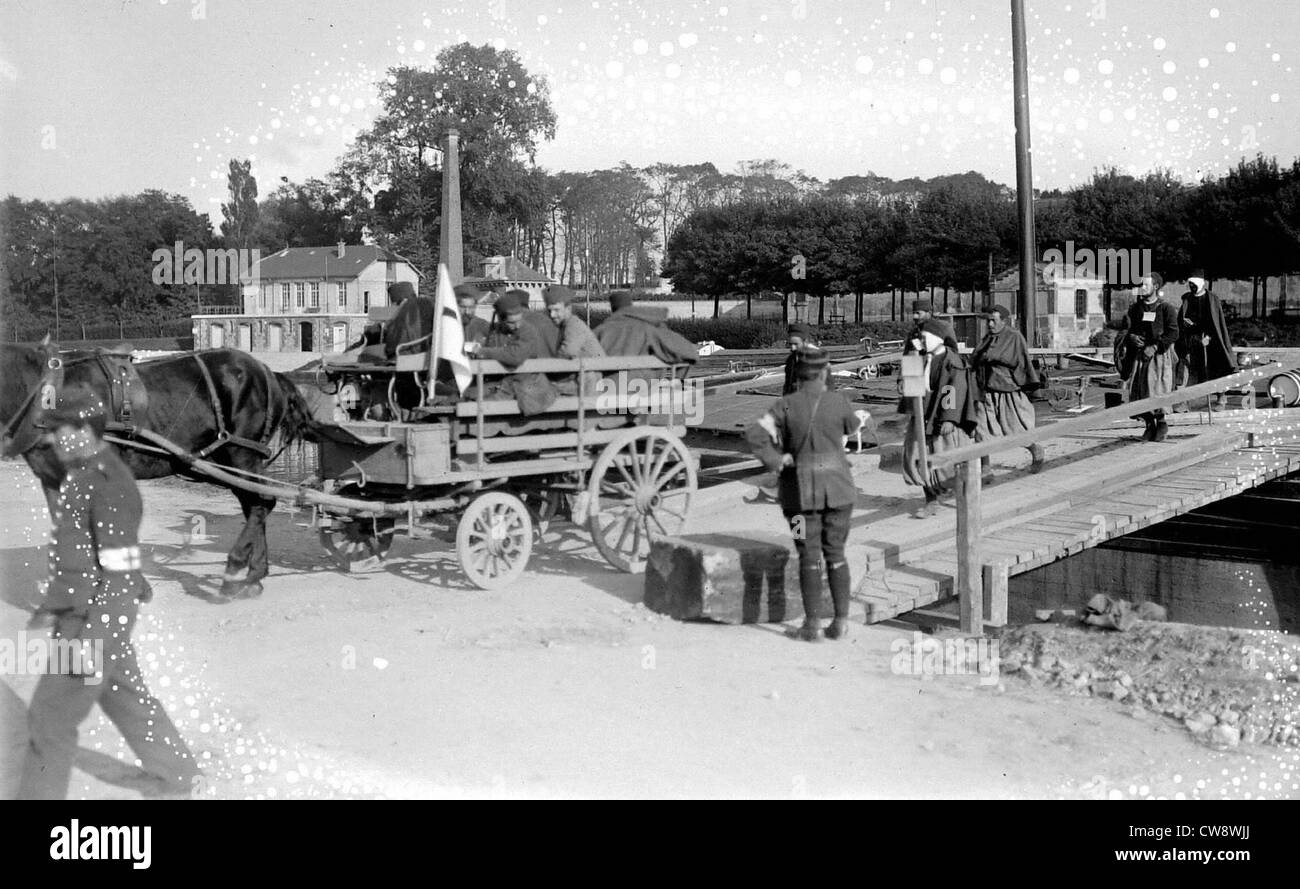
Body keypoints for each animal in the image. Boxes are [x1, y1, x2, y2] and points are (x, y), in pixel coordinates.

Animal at [1, 343, 321, 600]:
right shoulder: (53, 479)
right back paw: (254, 575)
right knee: (256, 505)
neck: (55, 397)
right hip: (232, 460)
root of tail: (269, 372)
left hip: (240, 455)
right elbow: (72, 533)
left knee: (262, 503)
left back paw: (235, 570)